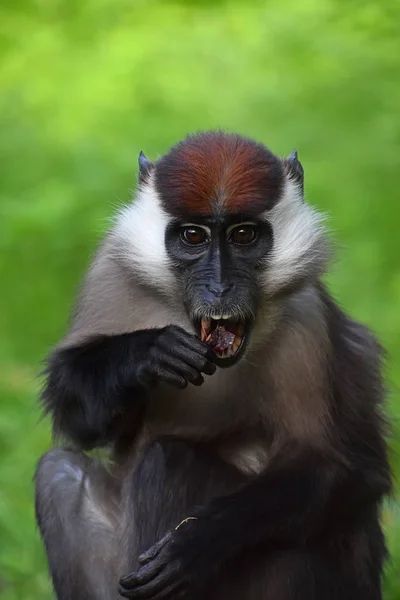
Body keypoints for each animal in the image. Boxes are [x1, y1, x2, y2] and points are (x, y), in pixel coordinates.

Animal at [34, 132, 390, 600]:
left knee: (168, 459)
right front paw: (146, 353)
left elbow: (335, 468)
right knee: (59, 473)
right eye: (193, 236)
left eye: (243, 235)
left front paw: (195, 542)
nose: (220, 287)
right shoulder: (111, 274)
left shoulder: (306, 318)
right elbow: (84, 426)